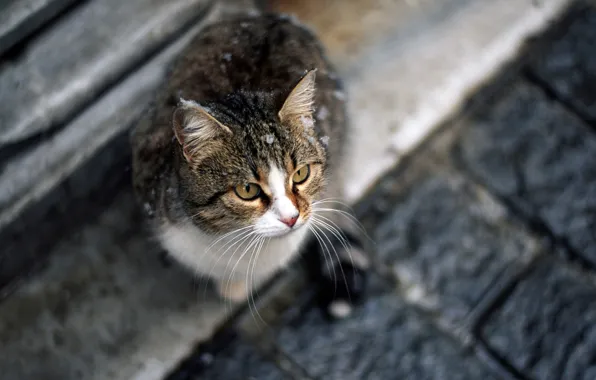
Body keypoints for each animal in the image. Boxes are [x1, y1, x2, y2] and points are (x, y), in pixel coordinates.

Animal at [132, 13, 368, 316]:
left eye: (301, 174)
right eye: (247, 190)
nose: (291, 218)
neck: (236, 242)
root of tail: (274, 17)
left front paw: (236, 287)